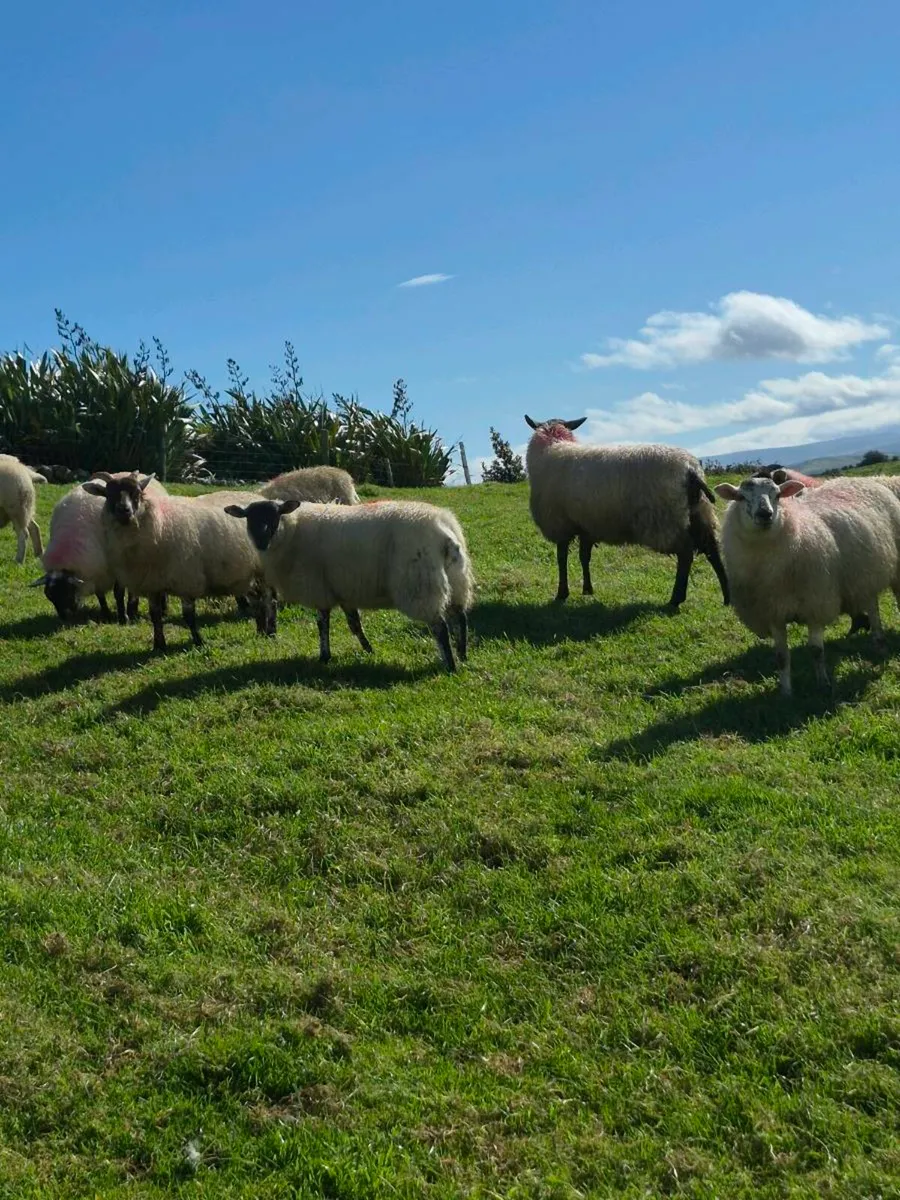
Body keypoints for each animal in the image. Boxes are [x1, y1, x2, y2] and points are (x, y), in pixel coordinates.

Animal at [30, 473, 167, 623]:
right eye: (49, 596)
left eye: (68, 592)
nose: (65, 618)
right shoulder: (96, 569)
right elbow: (99, 594)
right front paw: (106, 614)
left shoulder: (115, 565)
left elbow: (118, 593)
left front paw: (123, 618)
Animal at [82, 473, 268, 651]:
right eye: (108, 494)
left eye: (137, 493)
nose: (124, 510)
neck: (160, 525)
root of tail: (255, 496)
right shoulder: (152, 583)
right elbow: (155, 616)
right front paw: (159, 645)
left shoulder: (187, 579)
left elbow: (189, 616)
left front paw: (198, 642)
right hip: (247, 575)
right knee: (257, 599)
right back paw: (261, 630)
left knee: (263, 600)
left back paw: (265, 630)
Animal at [224, 498, 474, 672]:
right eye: (248, 517)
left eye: (275, 515)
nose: (260, 540)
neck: (291, 531)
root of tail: (445, 534)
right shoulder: (344, 590)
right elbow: (354, 624)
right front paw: (369, 650)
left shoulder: (319, 588)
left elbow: (322, 623)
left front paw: (324, 656)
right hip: (457, 579)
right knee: (460, 616)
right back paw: (463, 655)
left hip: (421, 584)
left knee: (440, 626)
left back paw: (450, 665)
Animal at [524, 416, 729, 609]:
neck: (551, 446)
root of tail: (690, 469)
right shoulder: (587, 526)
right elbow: (584, 557)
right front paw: (587, 589)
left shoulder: (560, 524)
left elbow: (561, 559)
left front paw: (562, 593)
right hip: (700, 512)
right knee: (712, 550)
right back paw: (727, 598)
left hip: (664, 520)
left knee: (686, 554)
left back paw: (676, 599)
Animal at [713, 474, 900, 695]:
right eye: (741, 497)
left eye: (777, 495)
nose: (765, 514)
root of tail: (866, 480)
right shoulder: (773, 612)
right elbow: (781, 657)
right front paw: (786, 693)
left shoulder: (816, 604)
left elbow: (816, 650)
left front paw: (823, 684)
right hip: (865, 574)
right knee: (872, 605)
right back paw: (879, 642)